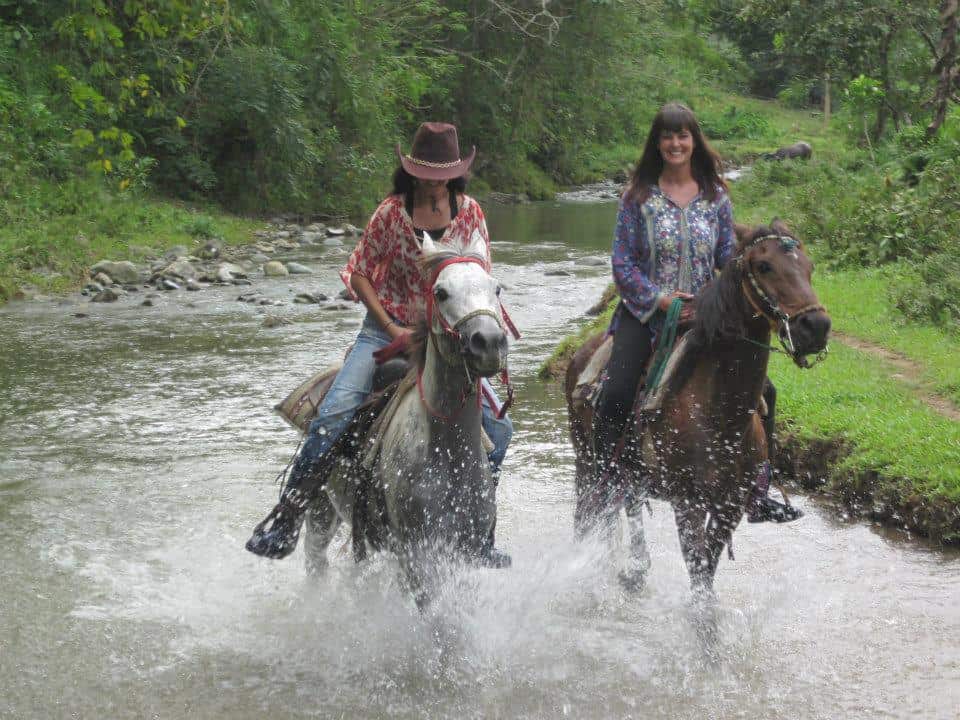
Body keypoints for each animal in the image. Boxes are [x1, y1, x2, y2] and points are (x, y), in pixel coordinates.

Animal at [568, 219, 828, 596]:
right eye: (764, 266)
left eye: (809, 267)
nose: (817, 327)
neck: (719, 414)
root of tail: (580, 354)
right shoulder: (687, 504)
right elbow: (699, 575)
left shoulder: (728, 508)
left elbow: (707, 574)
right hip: (588, 461)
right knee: (587, 514)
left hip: (629, 470)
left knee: (628, 503)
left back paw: (636, 569)